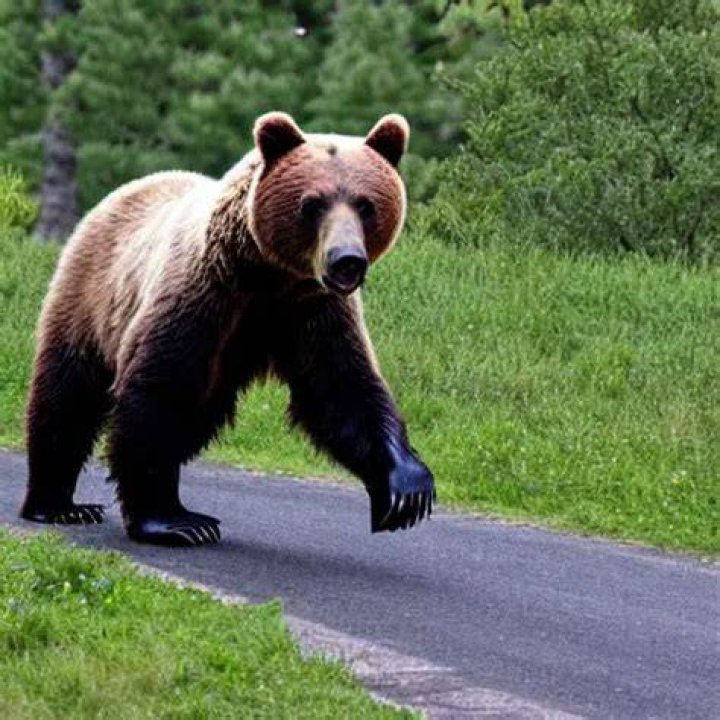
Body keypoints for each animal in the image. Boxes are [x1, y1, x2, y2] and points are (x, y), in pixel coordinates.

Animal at [20, 112, 435, 546]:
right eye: (312, 204)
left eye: (366, 204)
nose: (346, 260)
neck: (267, 277)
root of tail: (118, 194)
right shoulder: (203, 294)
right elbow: (159, 388)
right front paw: (172, 520)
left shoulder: (313, 312)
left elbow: (344, 390)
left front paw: (406, 489)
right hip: (89, 298)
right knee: (67, 397)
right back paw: (57, 504)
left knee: (196, 417)